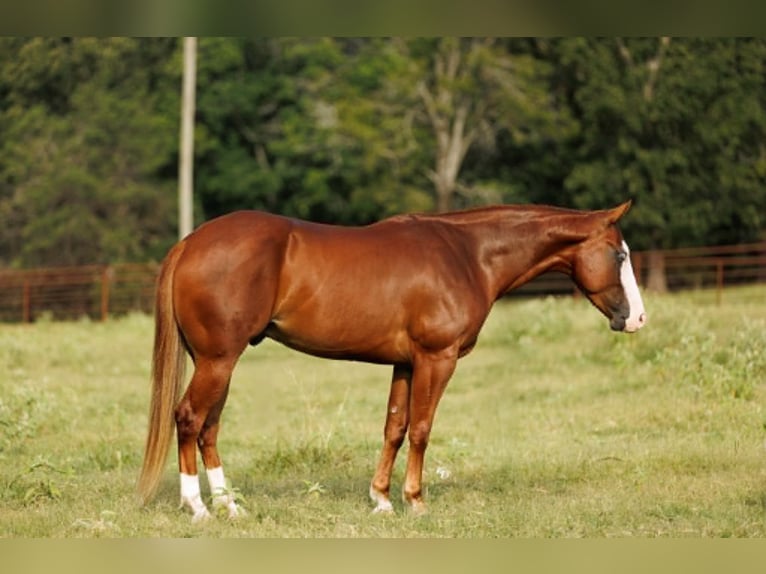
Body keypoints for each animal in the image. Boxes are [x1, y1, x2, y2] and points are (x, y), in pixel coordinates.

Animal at [136, 200, 646, 522]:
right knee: (189, 418)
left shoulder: (405, 364)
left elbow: (395, 427)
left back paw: (229, 506)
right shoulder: (437, 359)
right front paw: (414, 501)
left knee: (209, 427)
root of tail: (192, 242)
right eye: (619, 254)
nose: (637, 318)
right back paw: (197, 508)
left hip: (217, 362)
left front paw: (381, 500)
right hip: (218, 360)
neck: (468, 255)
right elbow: (421, 429)